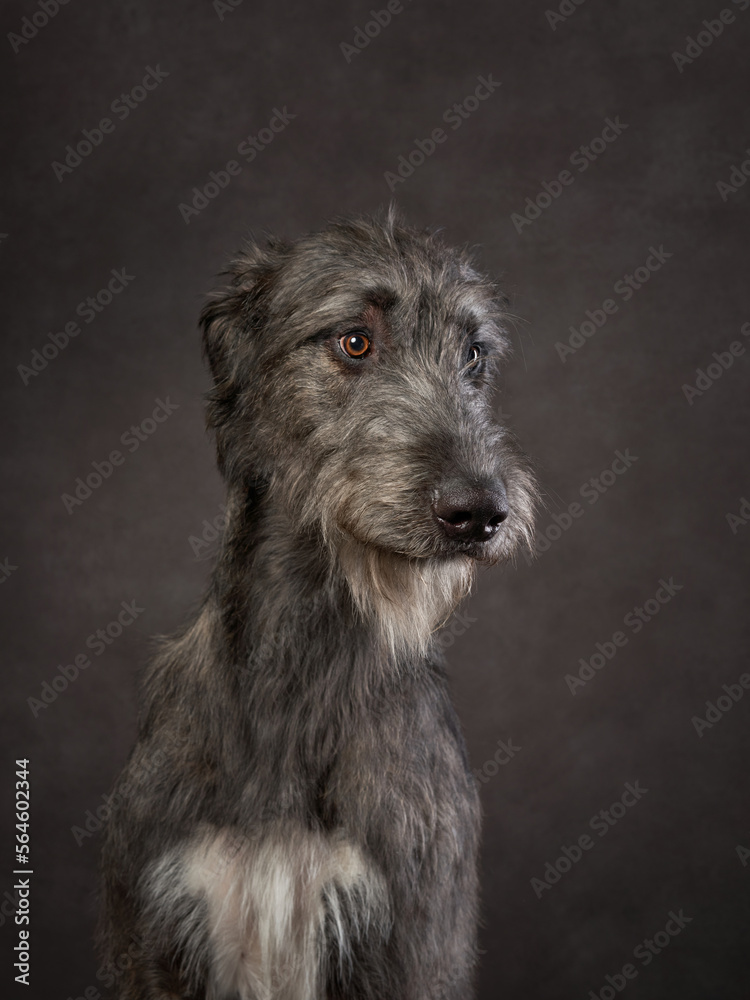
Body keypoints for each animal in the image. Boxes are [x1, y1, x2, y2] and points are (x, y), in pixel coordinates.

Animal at [100, 207, 540, 996]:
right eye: (354, 340)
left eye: (474, 356)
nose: (480, 511)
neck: (297, 672)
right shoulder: (152, 929)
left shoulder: (413, 933)